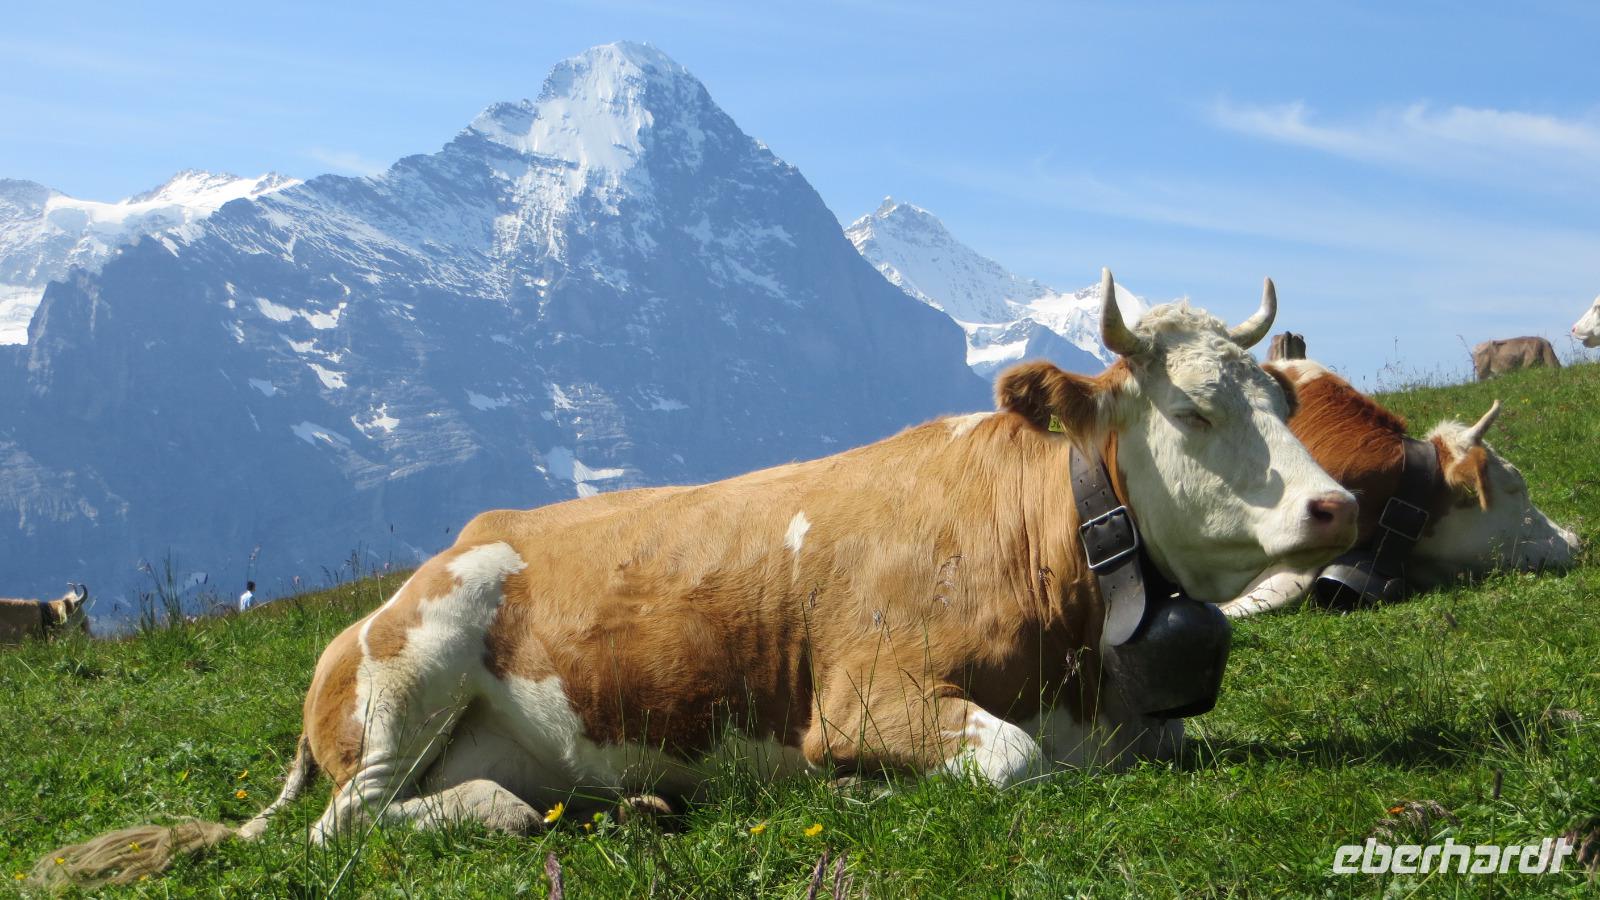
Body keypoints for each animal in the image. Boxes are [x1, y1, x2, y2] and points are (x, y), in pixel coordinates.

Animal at [34, 272, 1361, 888]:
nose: (1335, 505)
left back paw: (627, 808)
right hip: (412, 670)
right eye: (1193, 411)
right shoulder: (865, 698)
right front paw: (866, 795)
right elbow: (1007, 760)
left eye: (1281, 395)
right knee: (346, 827)